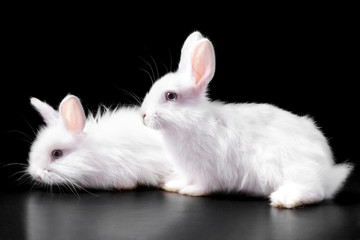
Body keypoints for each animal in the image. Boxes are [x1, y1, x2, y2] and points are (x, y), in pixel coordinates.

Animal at [140, 31, 352, 208]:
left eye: (171, 96)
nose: (142, 115)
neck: (193, 120)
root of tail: (327, 171)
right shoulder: (190, 170)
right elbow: (186, 179)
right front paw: (174, 185)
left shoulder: (208, 169)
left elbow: (204, 185)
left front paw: (190, 191)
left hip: (293, 169)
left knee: (316, 191)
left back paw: (285, 199)